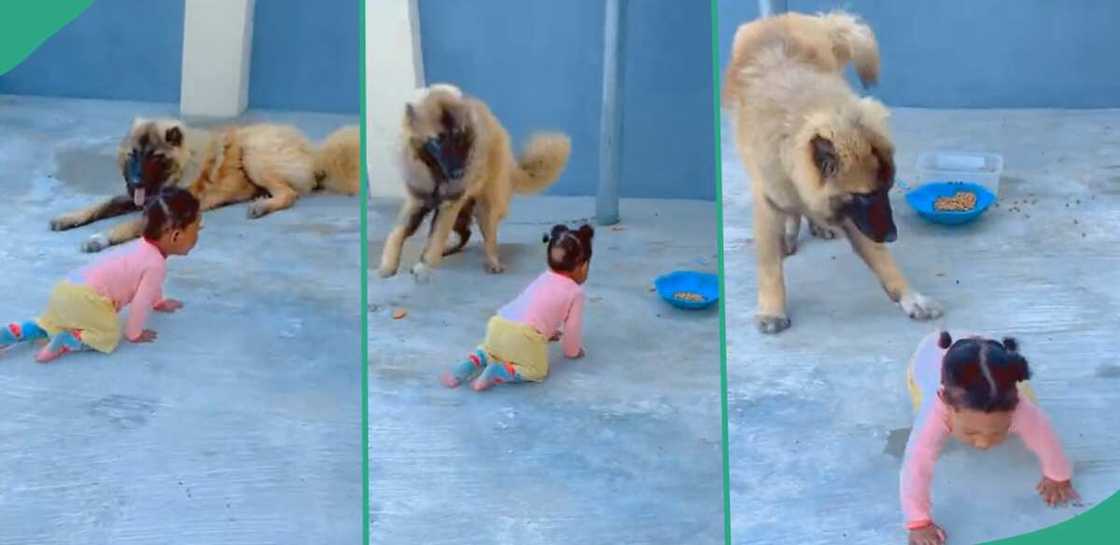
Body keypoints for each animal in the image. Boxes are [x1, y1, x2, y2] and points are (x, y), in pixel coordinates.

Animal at [49, 118, 358, 252]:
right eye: (133, 154)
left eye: (155, 156)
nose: (136, 181)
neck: (181, 168)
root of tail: (314, 151)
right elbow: (101, 204)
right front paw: (69, 217)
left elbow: (128, 225)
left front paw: (100, 238)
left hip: (254, 153)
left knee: (290, 193)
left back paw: (262, 206)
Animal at [378, 84, 573, 282]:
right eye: (438, 141)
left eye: (460, 138)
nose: (459, 173)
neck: (436, 175)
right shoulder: (417, 201)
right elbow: (397, 233)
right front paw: (388, 265)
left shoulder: (448, 206)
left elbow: (435, 240)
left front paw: (424, 266)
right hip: (461, 214)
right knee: (466, 233)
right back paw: (450, 249)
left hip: (483, 210)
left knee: (489, 239)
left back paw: (493, 262)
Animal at [721, 10, 940, 335]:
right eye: (866, 195)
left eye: (887, 190)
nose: (892, 236)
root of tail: (780, 16)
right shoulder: (771, 199)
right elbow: (769, 265)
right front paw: (772, 310)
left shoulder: (853, 216)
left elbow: (881, 260)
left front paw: (909, 296)